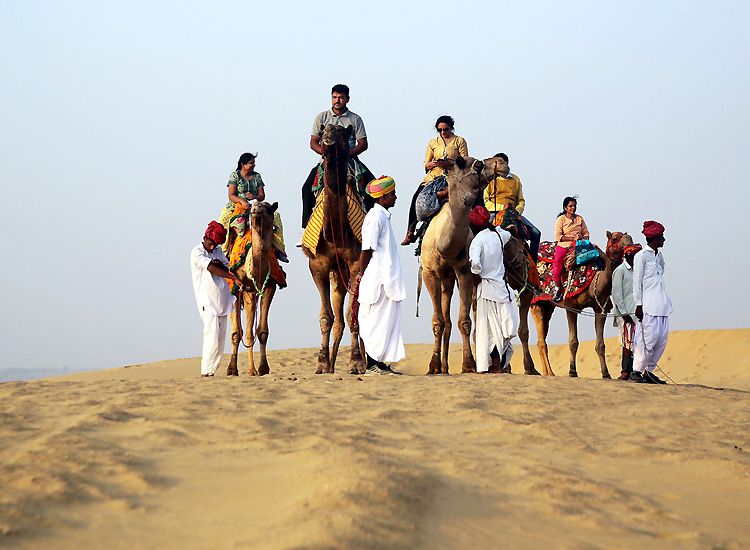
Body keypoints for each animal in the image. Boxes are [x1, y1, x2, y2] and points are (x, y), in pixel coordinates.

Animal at [228, 203, 280, 380]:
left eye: (268, 208)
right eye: (252, 208)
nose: (255, 209)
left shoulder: (270, 287)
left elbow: (262, 331)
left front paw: (263, 368)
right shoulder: (247, 289)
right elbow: (247, 333)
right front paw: (251, 370)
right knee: (236, 330)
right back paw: (232, 369)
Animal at [302, 124, 368, 376]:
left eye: (342, 133)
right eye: (323, 132)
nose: (328, 140)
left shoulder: (357, 263)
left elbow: (353, 314)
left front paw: (356, 363)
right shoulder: (318, 265)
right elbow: (326, 317)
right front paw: (321, 363)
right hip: (337, 275)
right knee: (337, 316)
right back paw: (331, 364)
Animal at [418, 155, 488, 376]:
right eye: (477, 165)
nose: (497, 165)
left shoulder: (464, 270)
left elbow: (465, 321)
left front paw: (469, 364)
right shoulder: (430, 273)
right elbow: (438, 322)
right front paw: (433, 366)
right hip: (445, 279)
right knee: (446, 319)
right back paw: (443, 367)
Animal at [528, 230, 636, 380]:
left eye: (630, 238)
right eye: (615, 238)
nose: (630, 246)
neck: (593, 282)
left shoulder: (600, 309)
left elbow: (600, 345)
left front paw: (606, 373)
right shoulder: (571, 306)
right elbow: (573, 342)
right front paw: (572, 371)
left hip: (548, 306)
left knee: (541, 337)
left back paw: (546, 372)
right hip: (536, 302)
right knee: (541, 338)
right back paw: (550, 373)